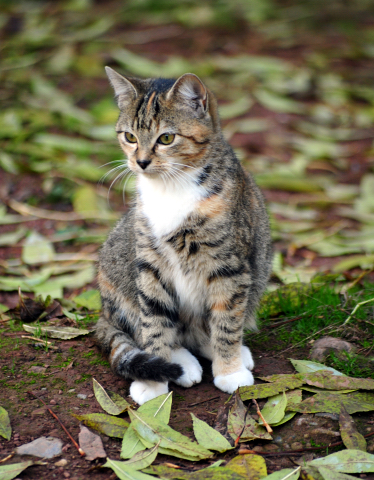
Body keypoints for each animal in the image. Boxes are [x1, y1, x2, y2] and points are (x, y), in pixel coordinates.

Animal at [96, 66, 272, 404]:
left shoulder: (229, 265)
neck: (171, 186)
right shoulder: (149, 263)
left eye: (166, 138)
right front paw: (153, 383)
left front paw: (229, 370)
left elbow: (227, 320)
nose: (141, 162)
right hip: (115, 270)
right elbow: (154, 320)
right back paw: (180, 362)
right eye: (130, 137)